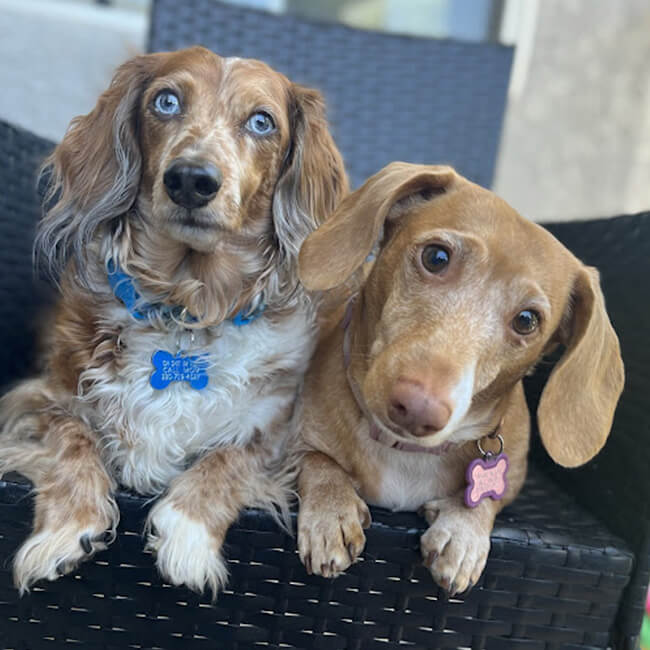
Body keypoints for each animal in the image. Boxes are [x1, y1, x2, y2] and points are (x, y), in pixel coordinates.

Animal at [0, 44, 346, 592]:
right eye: (166, 101)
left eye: (262, 121)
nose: (191, 179)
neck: (186, 309)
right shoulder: (37, 398)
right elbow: (72, 439)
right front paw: (67, 527)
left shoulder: (276, 427)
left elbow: (227, 458)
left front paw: (187, 535)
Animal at [294, 161, 624, 592]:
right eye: (436, 257)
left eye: (527, 320)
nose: (419, 408)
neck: (406, 453)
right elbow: (317, 459)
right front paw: (330, 512)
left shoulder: (512, 477)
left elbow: (488, 497)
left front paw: (463, 532)